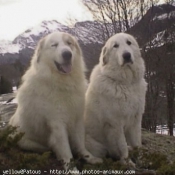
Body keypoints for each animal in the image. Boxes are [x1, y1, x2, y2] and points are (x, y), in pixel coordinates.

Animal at [9, 31, 102, 170]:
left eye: (69, 43)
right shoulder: (57, 123)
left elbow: (80, 144)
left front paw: (89, 158)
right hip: (27, 142)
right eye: (54, 45)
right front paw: (72, 169)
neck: (60, 82)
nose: (67, 54)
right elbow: (66, 151)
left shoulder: (77, 118)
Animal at [84, 32, 147, 164]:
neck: (126, 83)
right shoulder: (115, 124)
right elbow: (122, 146)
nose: (126, 55)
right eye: (115, 46)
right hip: (94, 145)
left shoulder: (135, 120)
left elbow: (137, 144)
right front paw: (127, 162)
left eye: (129, 42)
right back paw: (95, 159)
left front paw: (140, 160)